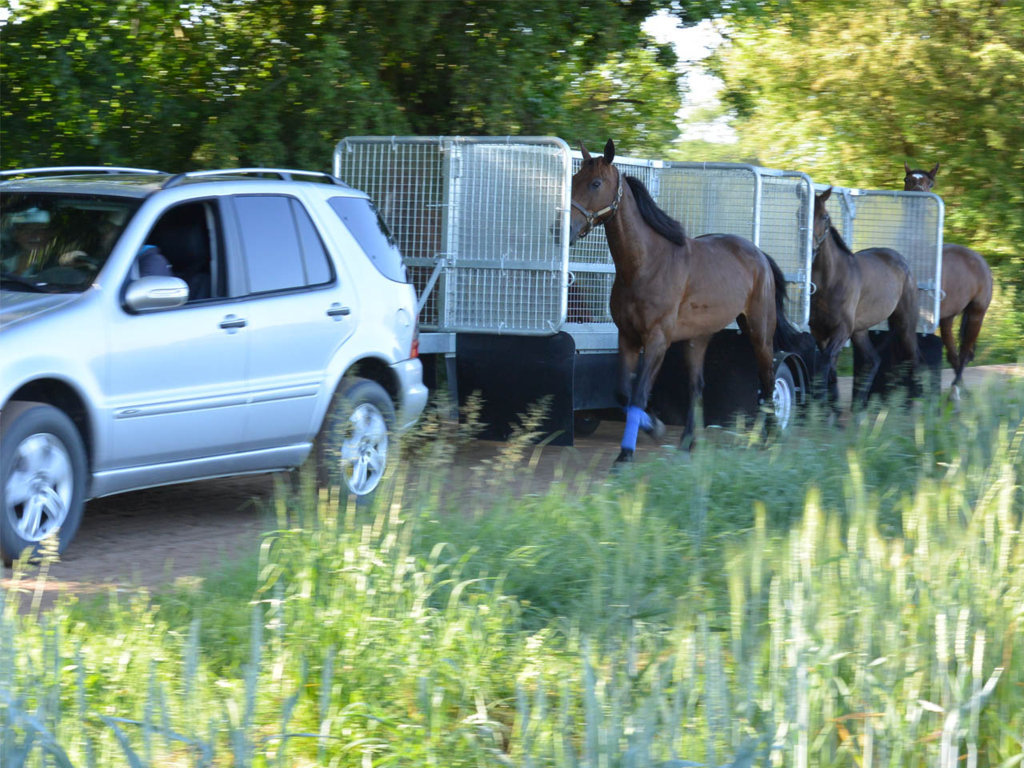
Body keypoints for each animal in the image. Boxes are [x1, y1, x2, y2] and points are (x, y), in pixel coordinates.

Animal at [569, 140, 798, 462]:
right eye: (575, 178)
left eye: (595, 183)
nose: (562, 227)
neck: (645, 265)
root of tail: (759, 255)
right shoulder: (627, 336)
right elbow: (623, 393)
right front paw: (655, 427)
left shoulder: (657, 340)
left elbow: (639, 393)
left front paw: (625, 455)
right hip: (697, 339)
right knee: (697, 386)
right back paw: (689, 441)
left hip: (759, 331)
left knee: (767, 380)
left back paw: (772, 437)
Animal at [806, 187, 921, 411]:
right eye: (801, 212)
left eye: (824, 217)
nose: (812, 250)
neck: (830, 280)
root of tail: (901, 260)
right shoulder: (819, 331)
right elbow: (829, 367)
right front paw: (830, 409)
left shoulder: (841, 330)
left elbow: (825, 362)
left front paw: (821, 406)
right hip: (859, 331)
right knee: (874, 360)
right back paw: (859, 406)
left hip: (905, 325)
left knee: (914, 358)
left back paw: (917, 403)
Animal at [905, 159, 991, 393]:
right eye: (907, 179)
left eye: (930, 183)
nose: (918, 194)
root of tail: (978, 259)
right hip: (947, 319)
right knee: (954, 355)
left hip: (976, 314)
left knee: (964, 353)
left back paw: (956, 391)